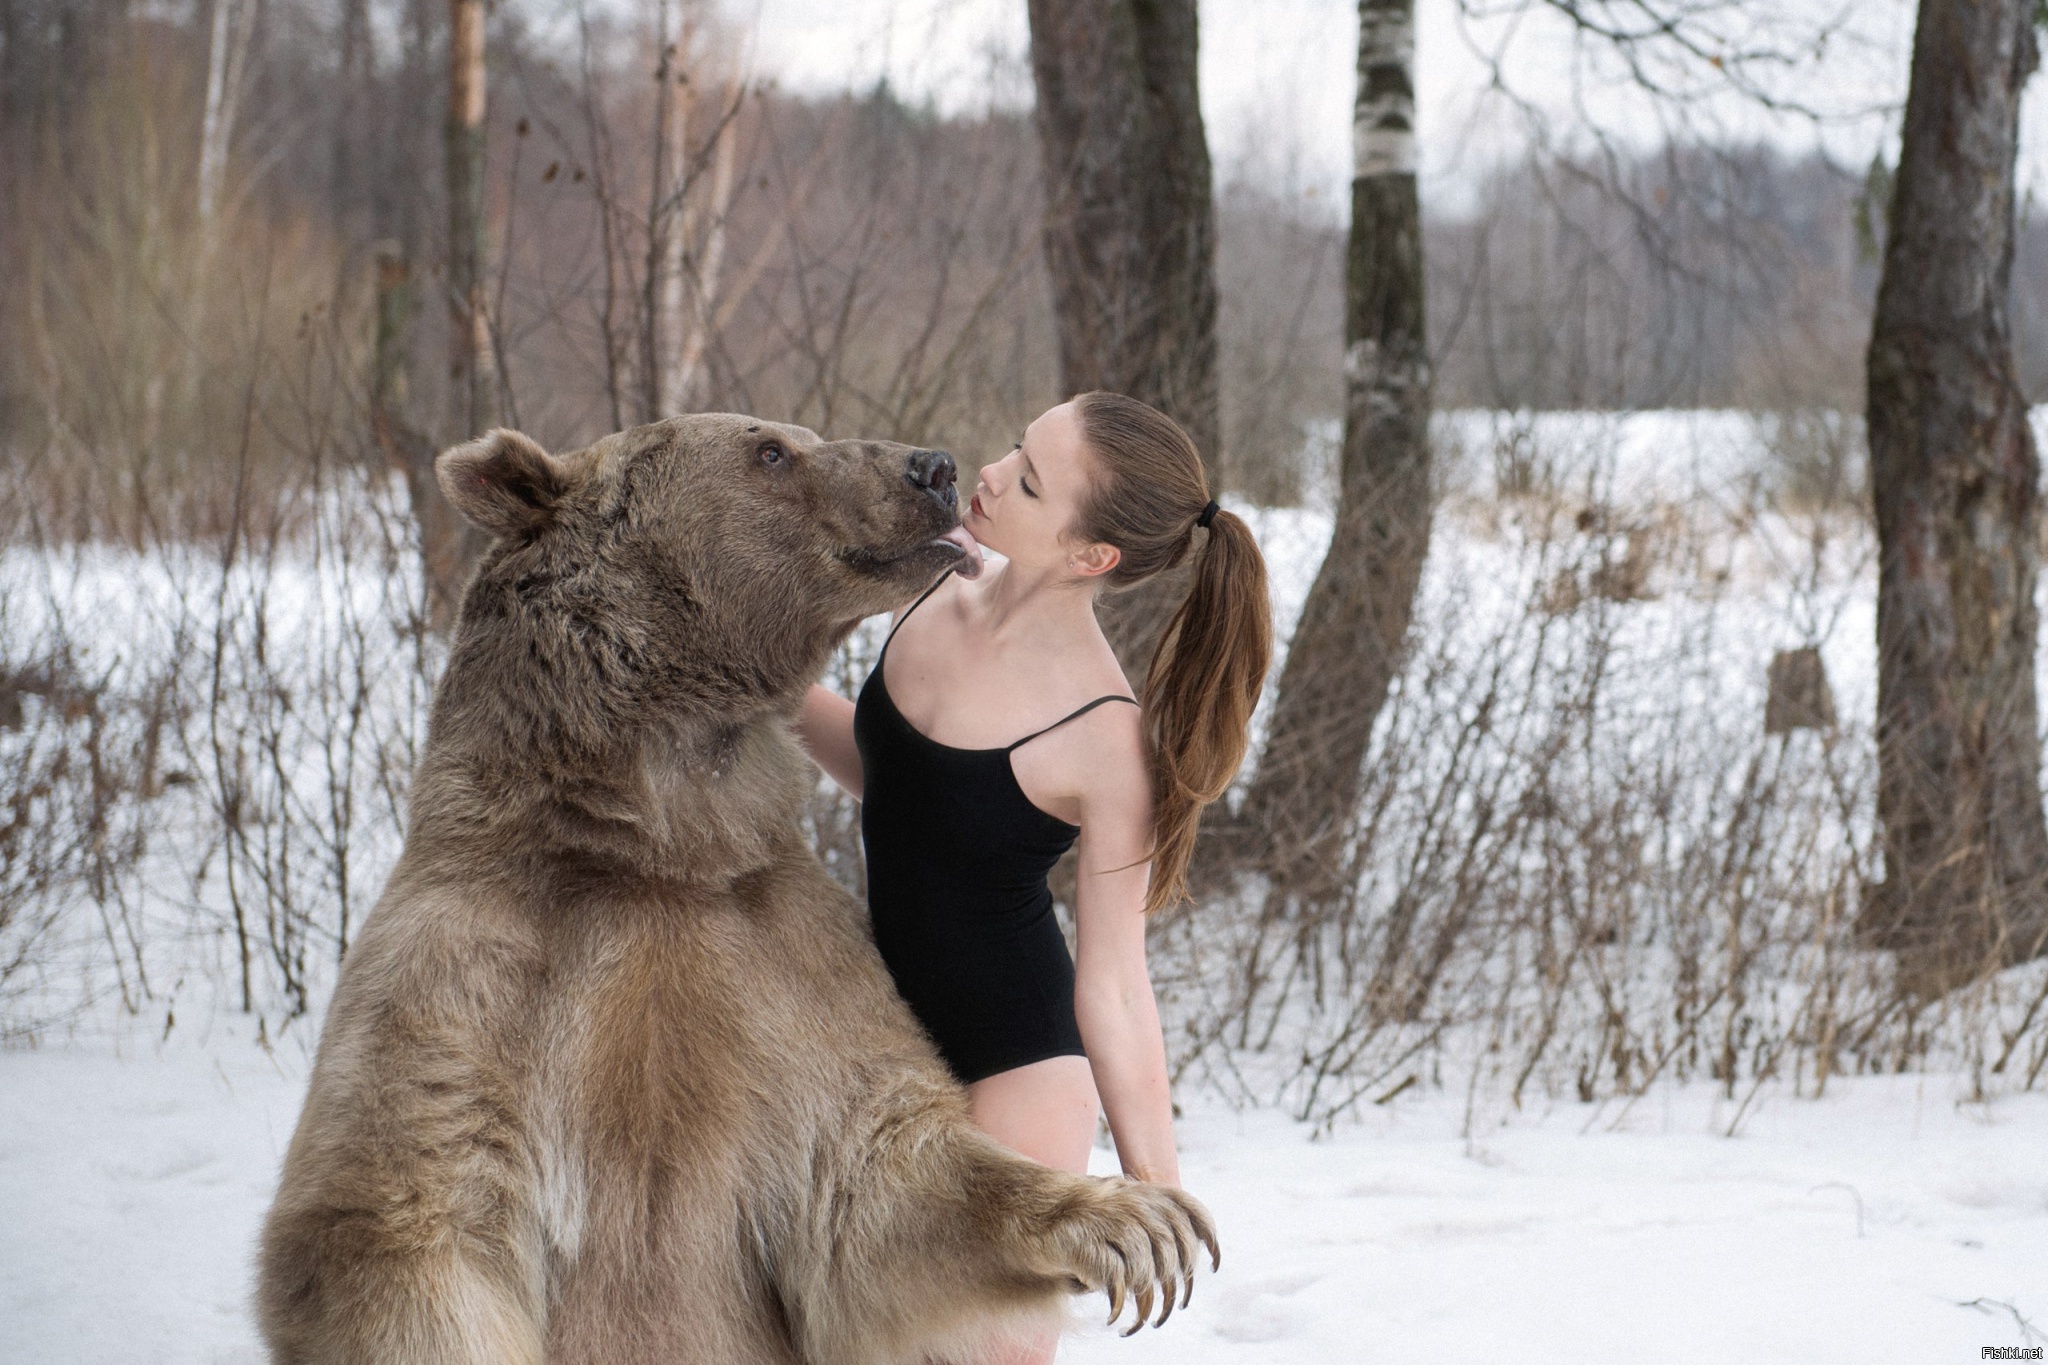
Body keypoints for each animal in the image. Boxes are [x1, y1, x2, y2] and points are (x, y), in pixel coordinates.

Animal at [256, 419, 1212, 1365]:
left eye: (792, 437)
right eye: (771, 451)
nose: (935, 468)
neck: (663, 835)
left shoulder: (784, 964)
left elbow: (874, 1174)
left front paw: (1135, 1217)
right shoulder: (478, 967)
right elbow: (406, 1210)